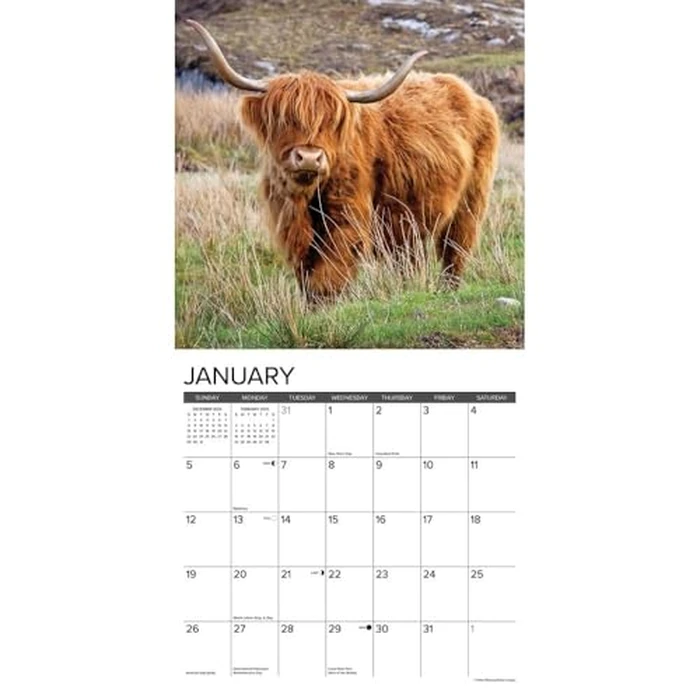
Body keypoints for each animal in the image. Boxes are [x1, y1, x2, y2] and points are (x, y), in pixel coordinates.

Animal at [185, 19, 500, 299]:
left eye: (331, 121)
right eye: (284, 118)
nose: (309, 158)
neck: (306, 197)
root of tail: (474, 96)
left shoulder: (348, 213)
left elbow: (330, 268)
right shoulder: (290, 222)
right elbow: (306, 270)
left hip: (470, 204)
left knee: (454, 250)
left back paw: (449, 289)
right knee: (410, 258)